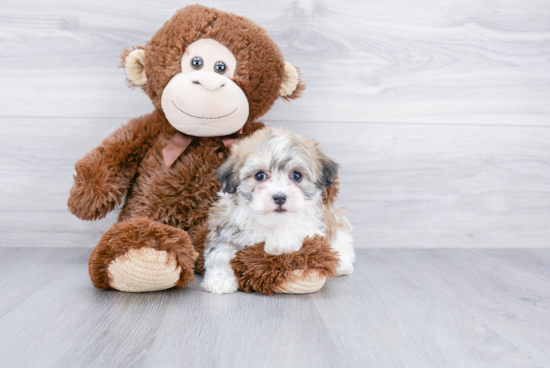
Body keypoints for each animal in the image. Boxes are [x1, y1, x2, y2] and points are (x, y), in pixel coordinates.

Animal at [202, 126, 354, 294]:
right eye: (260, 175)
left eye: (296, 175)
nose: (280, 197)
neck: (269, 221)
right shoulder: (224, 228)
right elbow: (220, 253)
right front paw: (220, 279)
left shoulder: (315, 226)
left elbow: (298, 227)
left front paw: (280, 242)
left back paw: (343, 263)